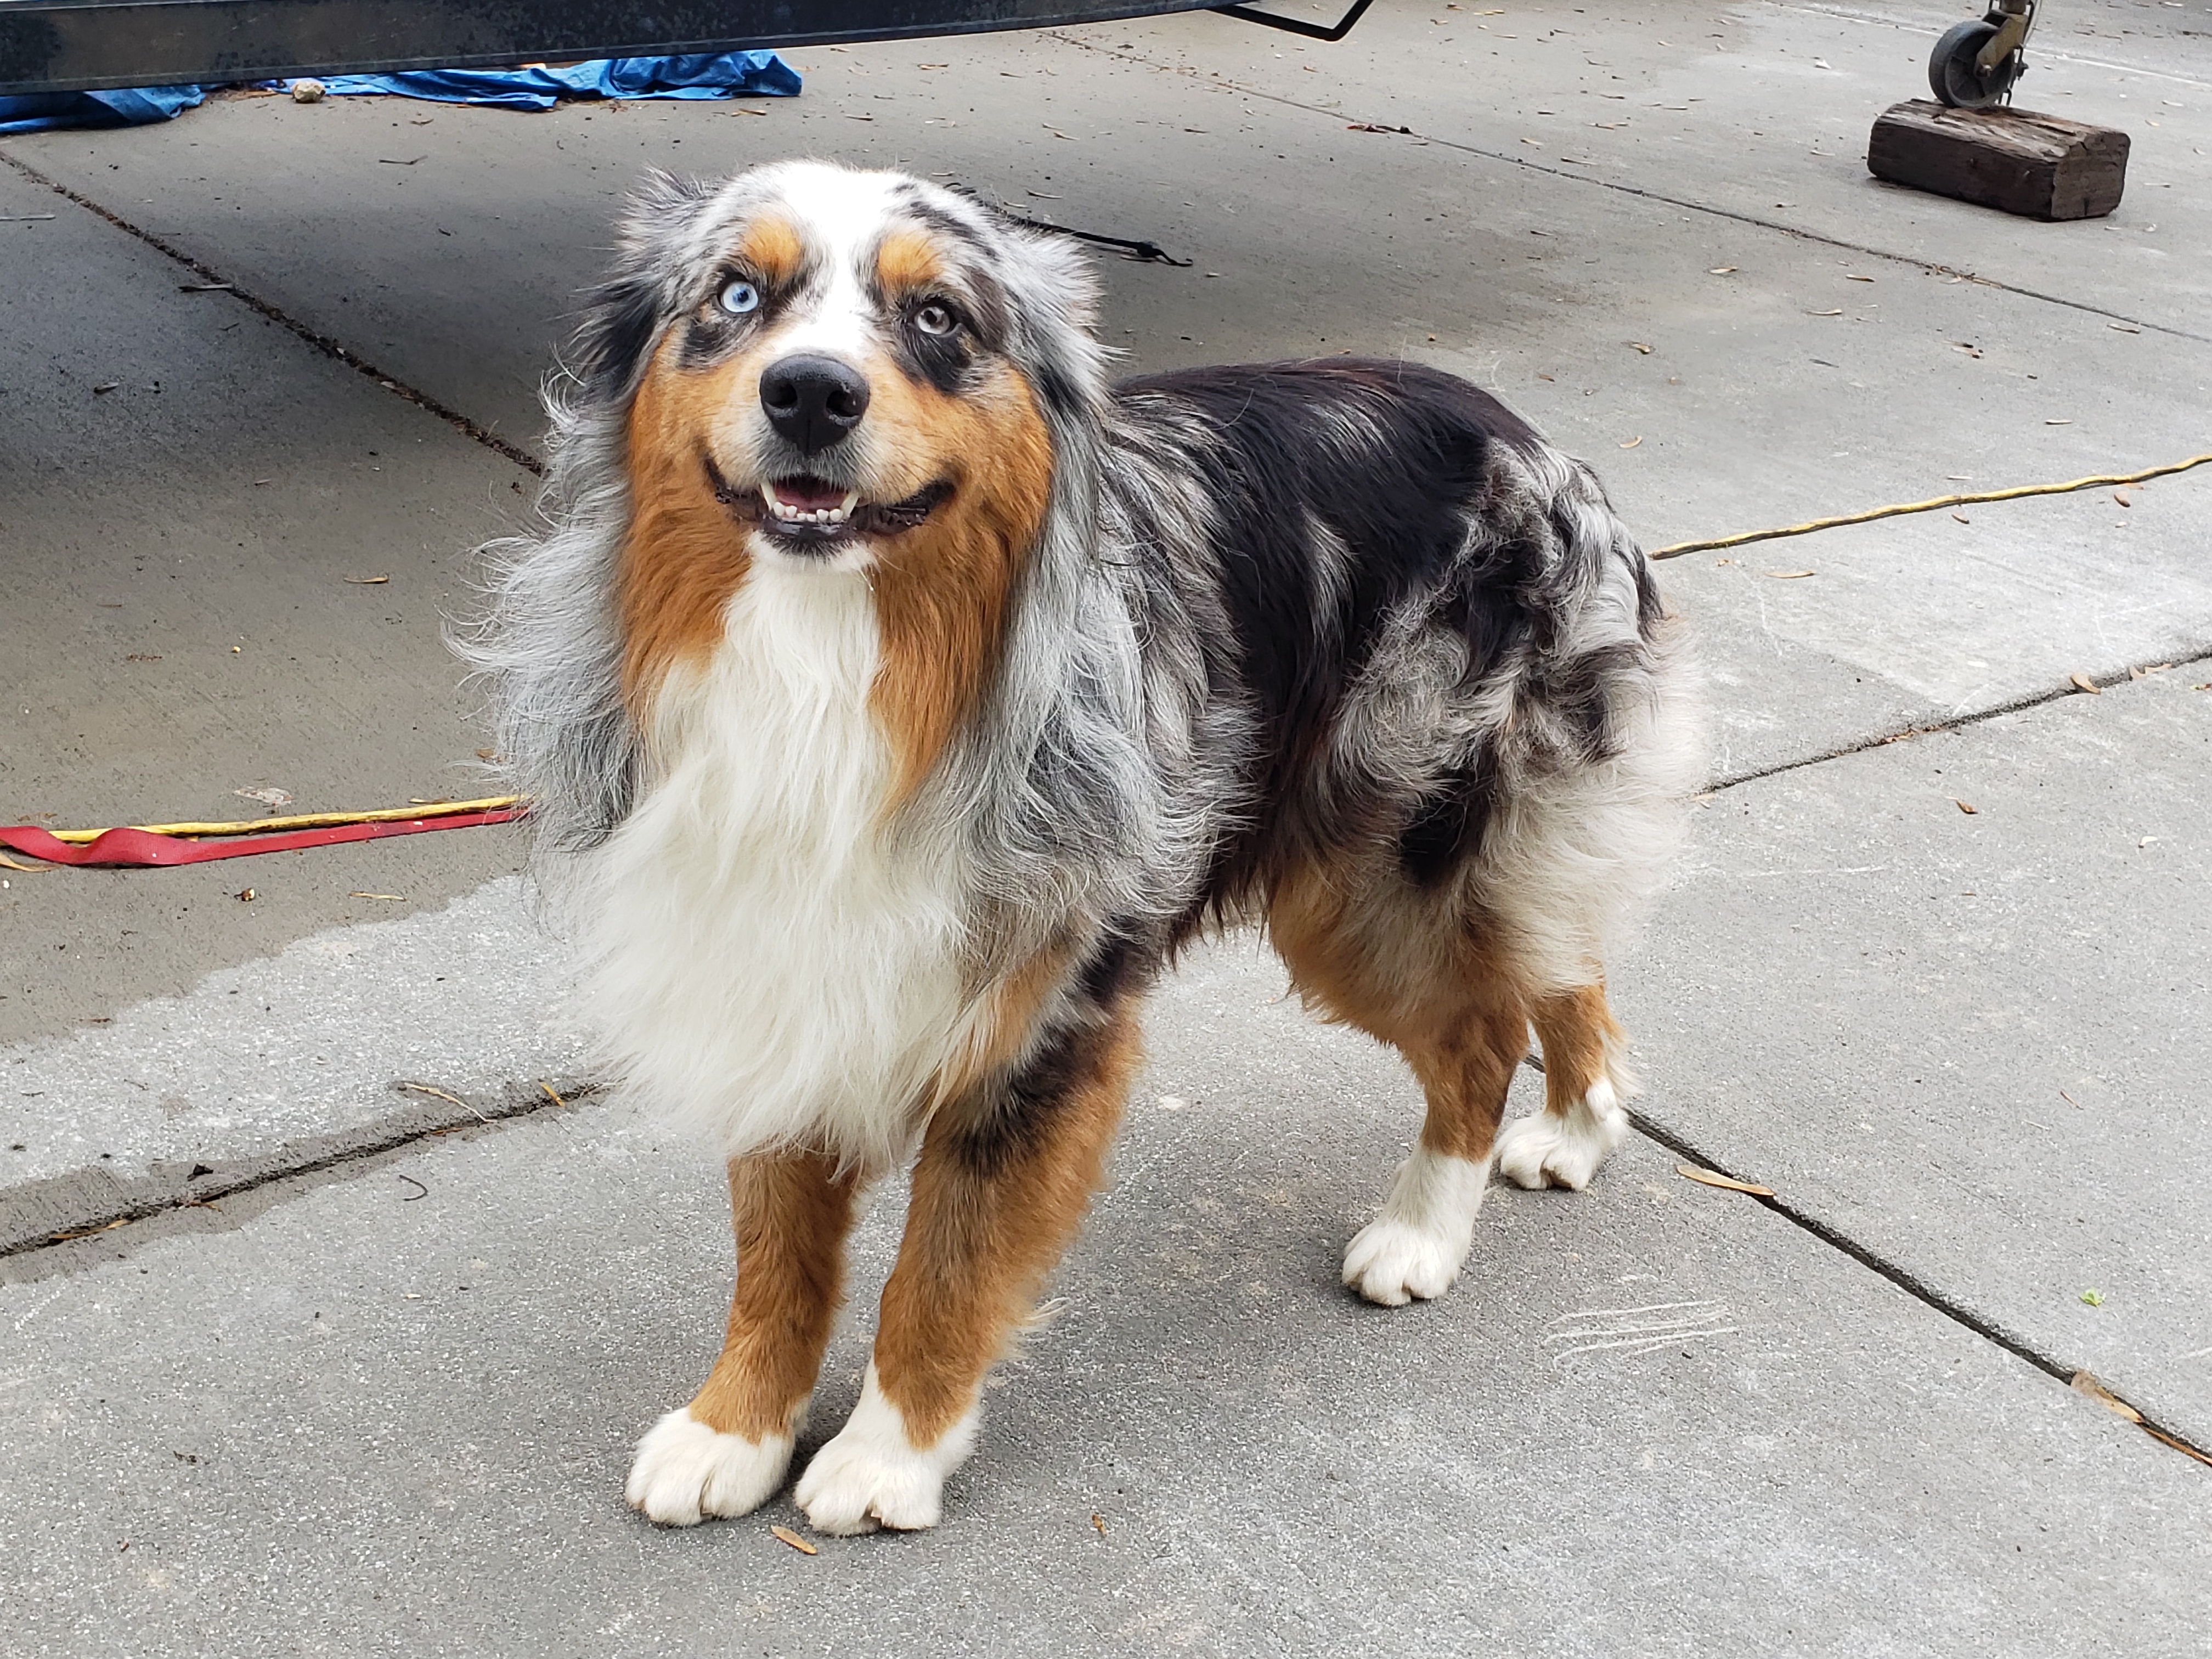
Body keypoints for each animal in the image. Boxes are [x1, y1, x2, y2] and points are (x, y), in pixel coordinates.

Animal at [462, 160, 1702, 1536]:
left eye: (938, 316)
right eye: (736, 294)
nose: (811, 394)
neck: (838, 661)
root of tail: (1536, 443)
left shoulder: (1038, 1026)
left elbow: (944, 1266)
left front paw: (887, 1456)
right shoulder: (781, 951)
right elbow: (775, 1242)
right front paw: (737, 1425)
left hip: (1374, 876)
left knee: (1485, 1027)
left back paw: (1425, 1234)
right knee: (1560, 959)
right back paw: (1583, 1126)